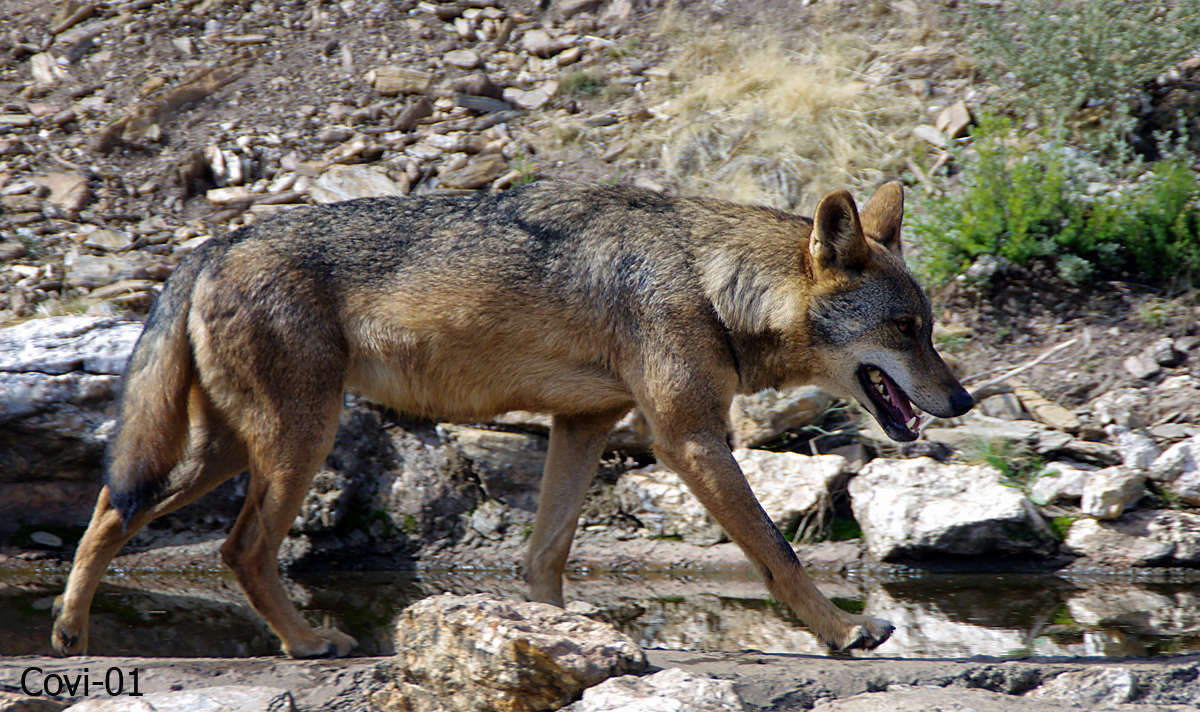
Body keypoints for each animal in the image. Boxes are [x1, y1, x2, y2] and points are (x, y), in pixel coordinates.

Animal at [51, 178, 969, 653]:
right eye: (906, 330)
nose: (961, 400)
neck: (709, 281)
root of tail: (213, 244)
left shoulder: (584, 426)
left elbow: (544, 555)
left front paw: (559, 641)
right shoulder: (689, 439)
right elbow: (777, 554)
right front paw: (843, 632)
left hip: (233, 451)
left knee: (113, 506)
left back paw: (70, 634)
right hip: (294, 443)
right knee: (238, 548)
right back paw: (310, 645)